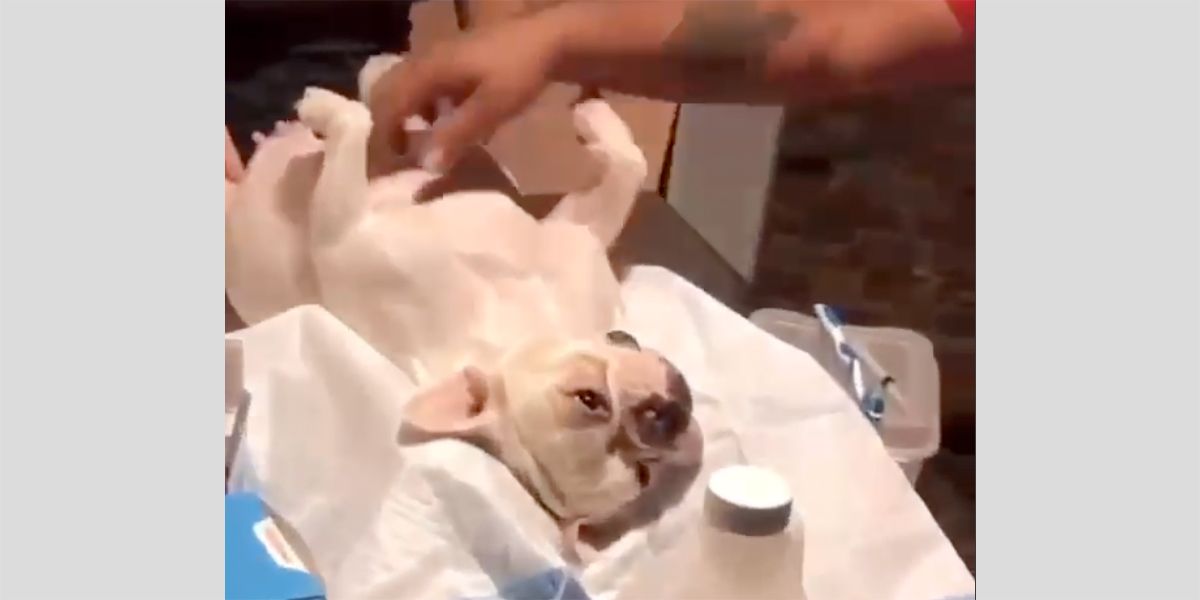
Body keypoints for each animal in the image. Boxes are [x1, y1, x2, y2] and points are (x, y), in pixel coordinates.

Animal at [225, 54, 702, 562]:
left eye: (644, 475)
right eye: (588, 398)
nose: (668, 415)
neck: (512, 320)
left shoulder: (341, 234)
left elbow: (356, 125)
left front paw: (328, 107)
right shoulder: (579, 233)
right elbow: (629, 165)